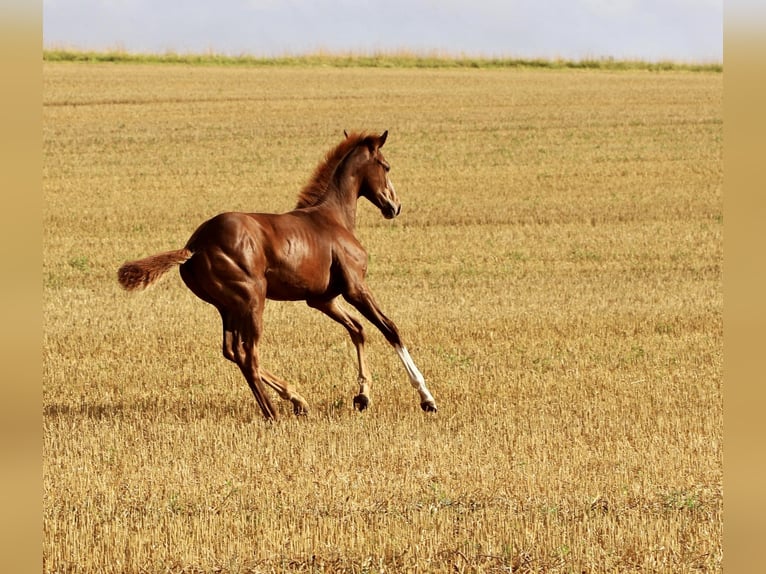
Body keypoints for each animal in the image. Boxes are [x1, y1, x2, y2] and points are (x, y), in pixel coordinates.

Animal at [115, 132, 438, 424]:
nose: (394, 206)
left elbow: (357, 329)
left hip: (227, 307)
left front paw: (362, 396)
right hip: (252, 299)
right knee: (249, 354)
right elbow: (390, 329)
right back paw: (274, 412)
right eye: (386, 166)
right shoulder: (355, 288)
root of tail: (195, 244)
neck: (334, 219)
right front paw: (427, 398)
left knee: (232, 351)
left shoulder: (321, 299)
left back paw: (296, 400)